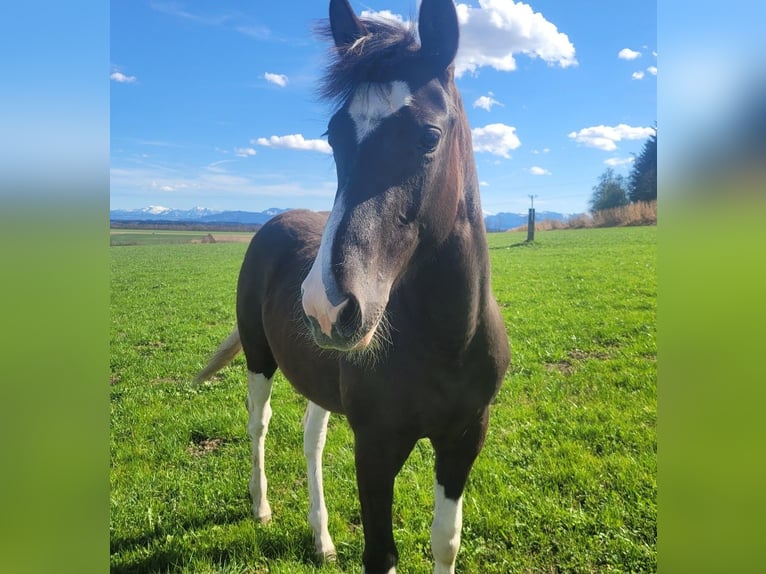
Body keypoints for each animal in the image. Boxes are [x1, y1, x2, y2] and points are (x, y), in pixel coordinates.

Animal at [194, 0, 510, 572]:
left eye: (429, 136)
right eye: (333, 135)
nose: (327, 306)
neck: (448, 341)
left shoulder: (465, 437)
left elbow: (446, 539)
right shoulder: (376, 446)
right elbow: (381, 553)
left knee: (311, 439)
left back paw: (321, 538)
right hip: (259, 358)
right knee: (259, 425)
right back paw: (261, 506)